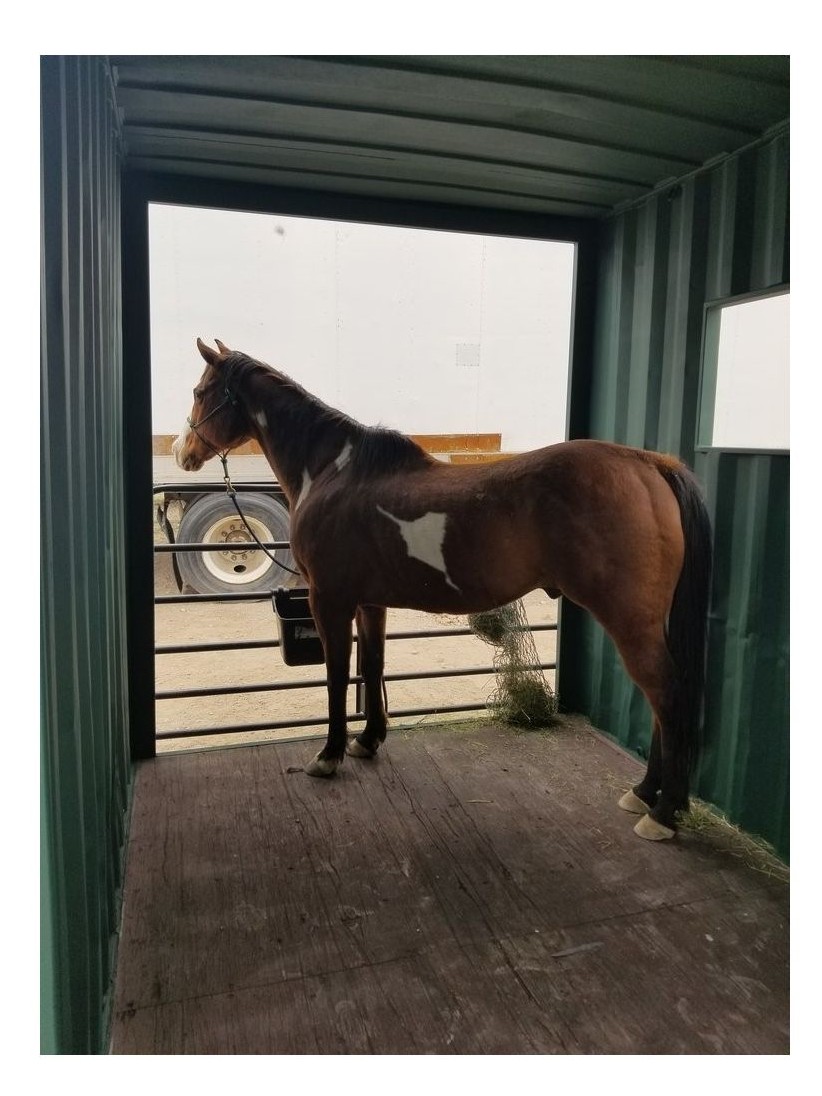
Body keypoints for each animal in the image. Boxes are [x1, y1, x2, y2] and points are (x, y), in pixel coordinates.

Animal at [173, 338, 712, 841]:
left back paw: (661, 812)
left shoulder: (331, 600)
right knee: (662, 699)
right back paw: (645, 794)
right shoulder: (370, 602)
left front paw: (328, 756)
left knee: (666, 695)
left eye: (200, 392)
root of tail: (648, 463)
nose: (182, 453)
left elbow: (337, 677)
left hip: (630, 621)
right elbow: (372, 668)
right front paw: (367, 741)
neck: (333, 472)